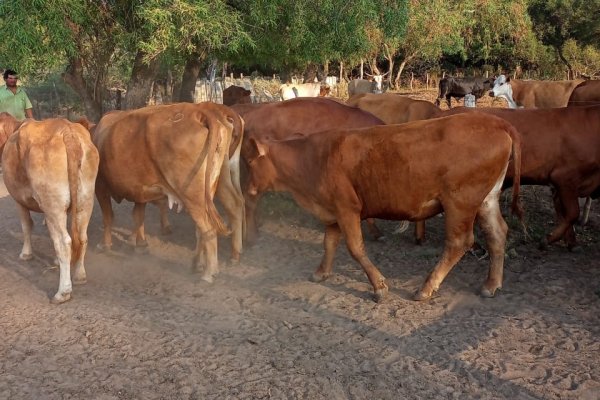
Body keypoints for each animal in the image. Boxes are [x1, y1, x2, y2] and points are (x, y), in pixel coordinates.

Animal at [1, 118, 99, 304]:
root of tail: (67, 130)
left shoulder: (19, 200)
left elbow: (26, 226)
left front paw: (26, 254)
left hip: (53, 203)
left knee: (64, 242)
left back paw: (63, 292)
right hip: (85, 200)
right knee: (82, 238)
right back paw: (80, 275)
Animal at [94, 102, 244, 282]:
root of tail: (200, 112)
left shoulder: (100, 186)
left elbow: (109, 217)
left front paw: (105, 245)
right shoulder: (140, 190)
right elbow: (138, 216)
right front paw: (140, 244)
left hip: (192, 194)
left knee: (208, 227)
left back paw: (209, 272)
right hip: (218, 180)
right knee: (233, 207)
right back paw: (222, 258)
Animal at [244, 111, 520, 300]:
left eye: (248, 162)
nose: (247, 189)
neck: (311, 159)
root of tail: (496, 121)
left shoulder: (347, 208)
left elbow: (355, 248)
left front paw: (378, 286)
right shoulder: (332, 211)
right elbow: (329, 242)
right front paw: (321, 272)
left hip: (460, 202)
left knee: (459, 242)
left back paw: (426, 287)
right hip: (486, 199)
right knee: (496, 234)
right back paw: (491, 284)